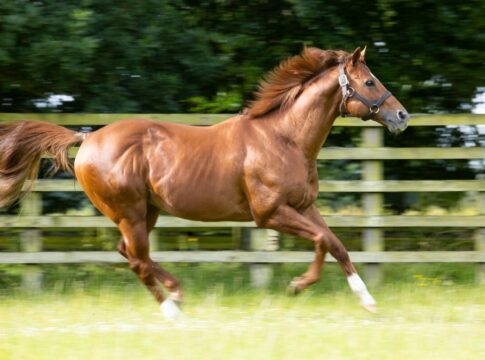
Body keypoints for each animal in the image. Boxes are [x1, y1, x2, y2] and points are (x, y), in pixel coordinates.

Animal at [0, 47, 408, 318]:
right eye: (370, 81)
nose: (402, 115)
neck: (284, 138)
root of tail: (87, 139)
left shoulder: (304, 206)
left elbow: (337, 245)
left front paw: (368, 300)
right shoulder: (270, 213)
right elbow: (323, 240)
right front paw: (297, 285)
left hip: (145, 212)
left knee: (129, 252)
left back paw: (177, 293)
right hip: (129, 212)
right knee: (137, 260)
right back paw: (172, 310)